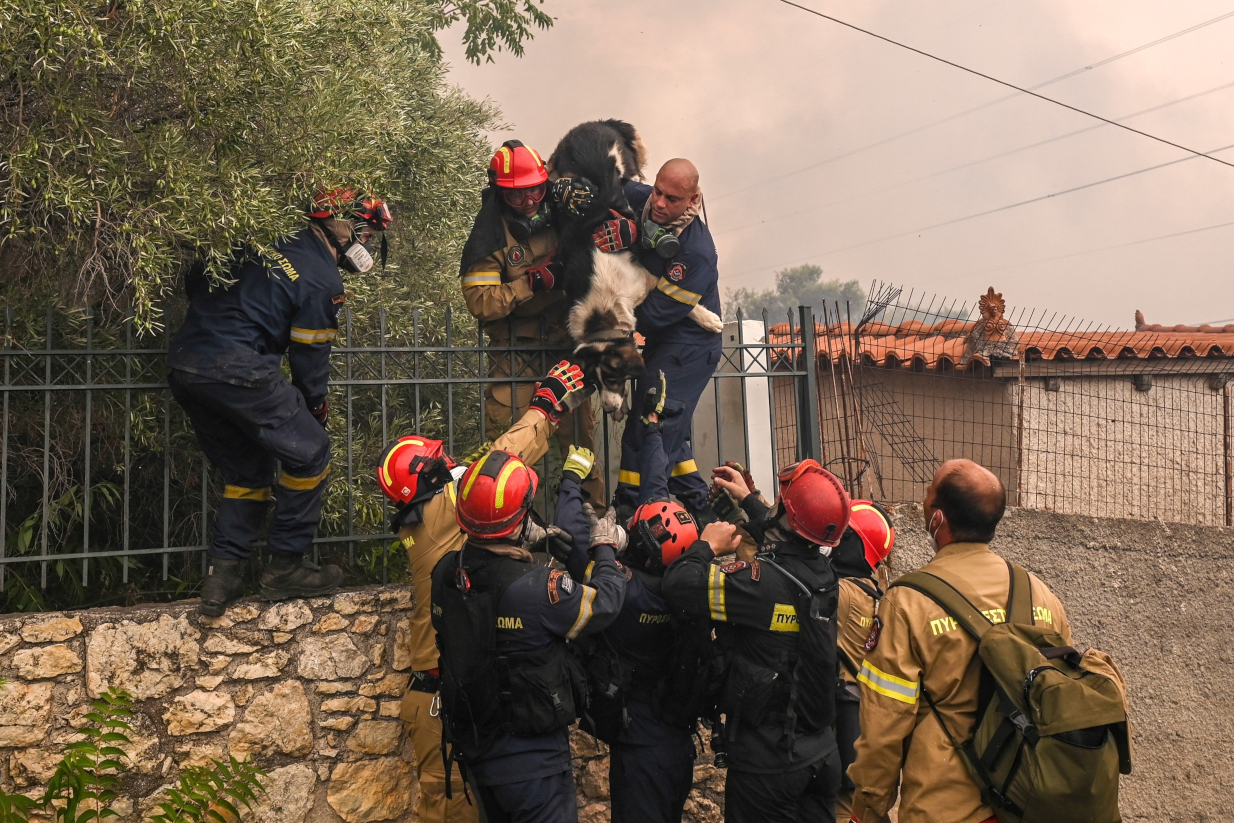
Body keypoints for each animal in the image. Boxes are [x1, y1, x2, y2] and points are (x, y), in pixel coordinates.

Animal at [550, 120, 720, 419]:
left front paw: (709, 319)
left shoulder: (647, 280)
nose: (608, 409)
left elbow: (683, 304)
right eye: (595, 383)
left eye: (613, 378)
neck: (601, 313)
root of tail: (591, 125)